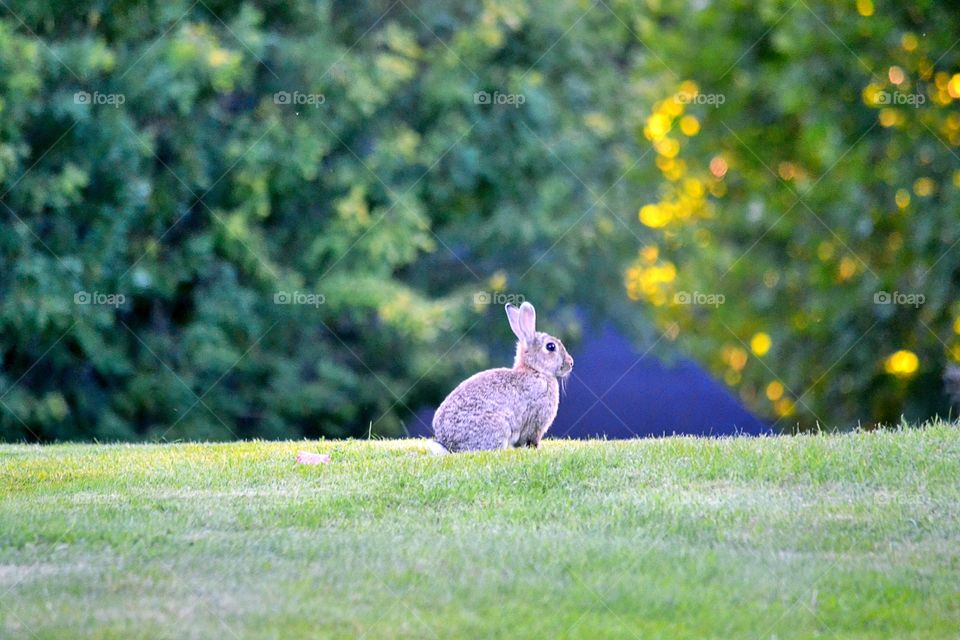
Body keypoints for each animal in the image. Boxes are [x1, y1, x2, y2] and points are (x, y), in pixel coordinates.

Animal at [429, 301, 573, 453]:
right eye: (551, 347)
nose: (571, 363)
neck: (535, 370)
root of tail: (449, 445)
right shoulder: (535, 421)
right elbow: (530, 439)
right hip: (499, 426)